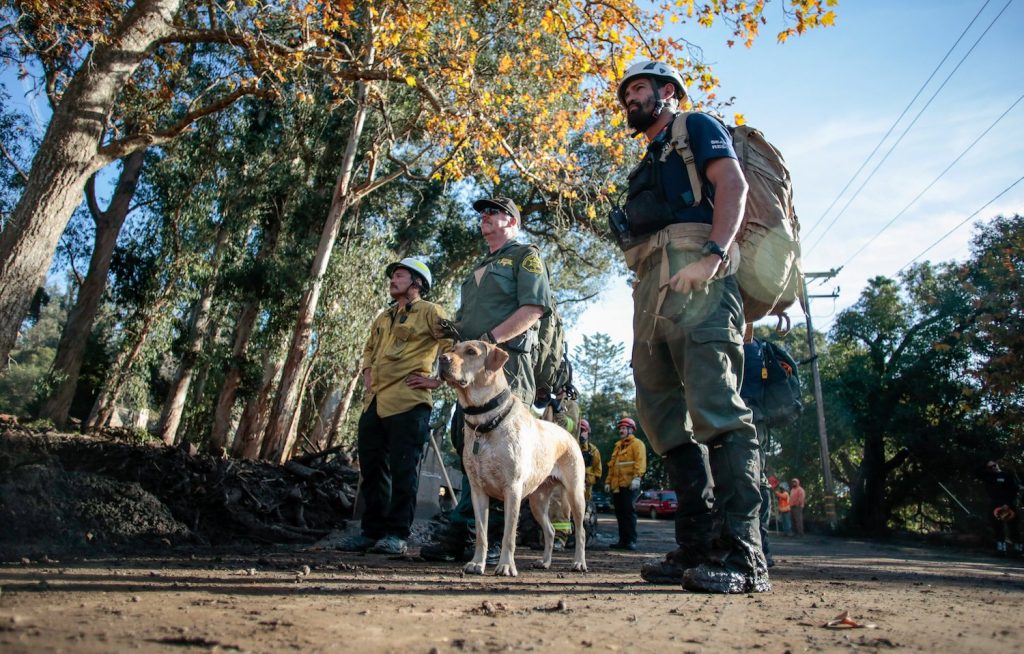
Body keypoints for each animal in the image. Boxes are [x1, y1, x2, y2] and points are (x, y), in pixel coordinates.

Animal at [438, 339, 589, 577]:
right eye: (452, 349)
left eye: (471, 351)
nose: (442, 358)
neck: (485, 421)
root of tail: (567, 435)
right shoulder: (477, 492)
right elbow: (481, 533)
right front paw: (477, 563)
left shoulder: (513, 490)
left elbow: (508, 535)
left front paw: (506, 566)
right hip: (537, 501)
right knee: (550, 530)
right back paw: (544, 562)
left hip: (575, 494)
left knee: (580, 531)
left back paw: (579, 563)